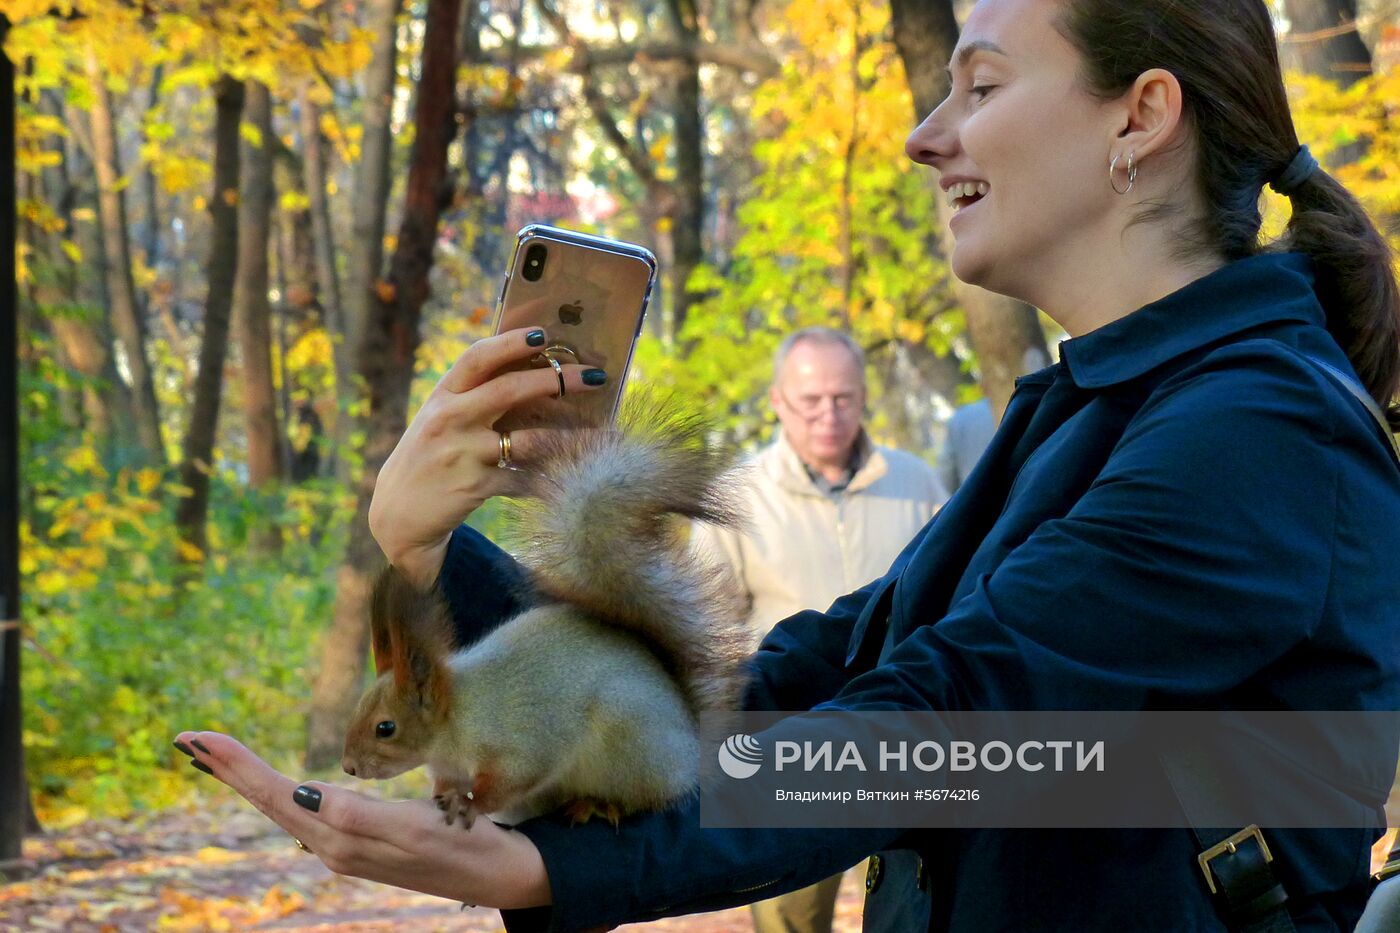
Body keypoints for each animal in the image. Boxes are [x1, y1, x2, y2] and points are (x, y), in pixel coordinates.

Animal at [340, 403, 756, 823]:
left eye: (385, 728)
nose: (349, 768)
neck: (454, 719)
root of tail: (691, 751)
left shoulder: (522, 743)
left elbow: (511, 781)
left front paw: (470, 804)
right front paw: (444, 795)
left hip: (631, 746)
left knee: (646, 798)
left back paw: (599, 804)